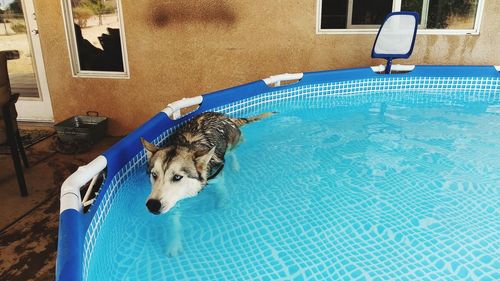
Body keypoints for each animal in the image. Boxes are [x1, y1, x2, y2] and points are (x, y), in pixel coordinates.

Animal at [141, 111, 274, 254]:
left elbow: (221, 190)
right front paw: (174, 242)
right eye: (154, 175)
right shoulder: (172, 199)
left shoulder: (217, 175)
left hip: (232, 144)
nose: (152, 205)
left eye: (177, 177)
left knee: (232, 153)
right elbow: (173, 219)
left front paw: (222, 203)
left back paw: (235, 166)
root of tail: (225, 116)